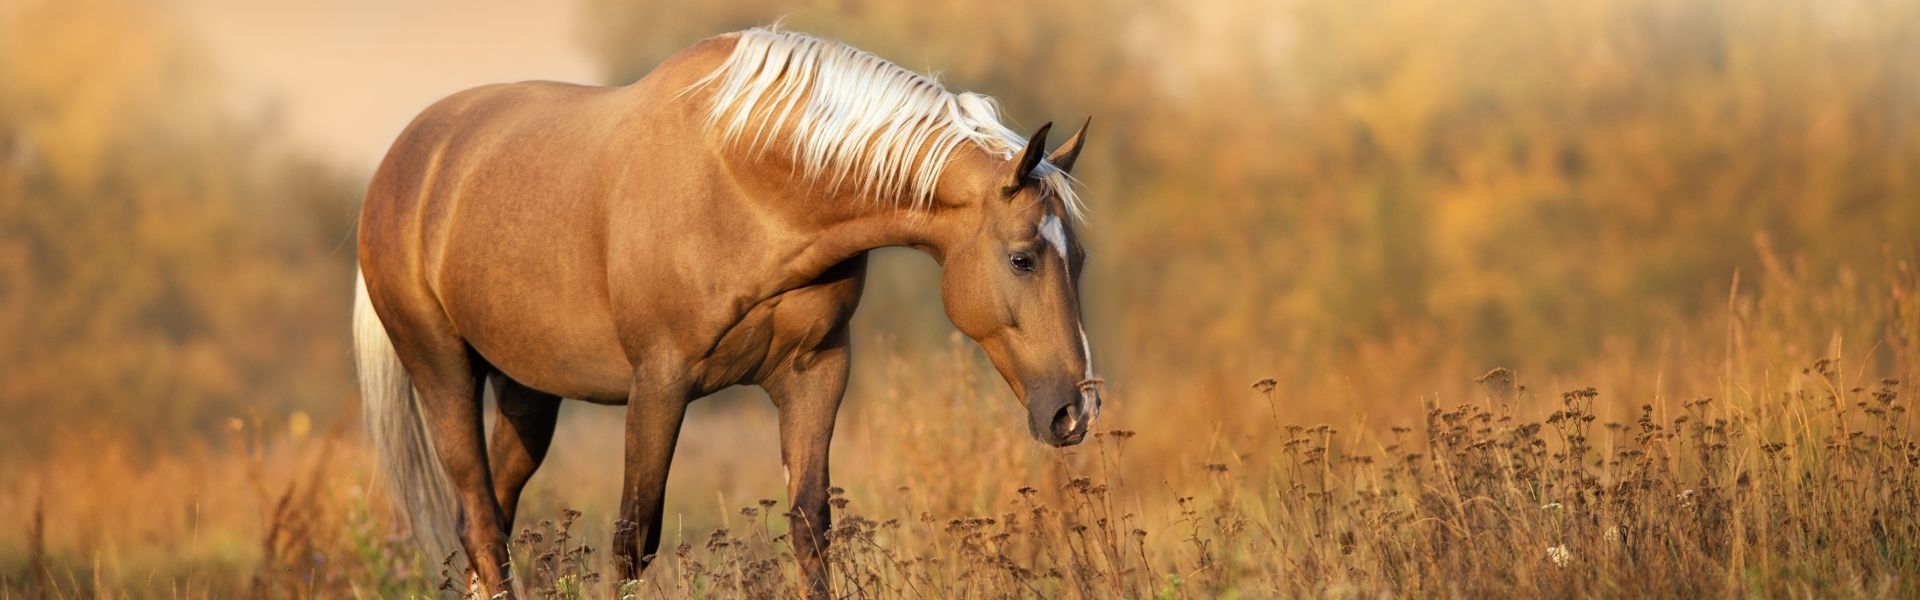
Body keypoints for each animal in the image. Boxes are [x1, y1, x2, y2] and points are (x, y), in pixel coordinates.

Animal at [352, 27, 1099, 597]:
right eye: (1022, 259)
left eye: (1080, 259)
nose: (1076, 412)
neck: (747, 184)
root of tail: (403, 162)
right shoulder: (659, 384)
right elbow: (634, 540)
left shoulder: (817, 372)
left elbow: (810, 526)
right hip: (443, 372)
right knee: (480, 523)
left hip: (528, 392)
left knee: (494, 522)